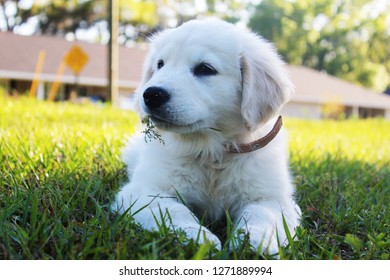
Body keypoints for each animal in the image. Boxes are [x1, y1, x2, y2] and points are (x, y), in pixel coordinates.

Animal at [111, 18, 300, 255]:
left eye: (205, 69)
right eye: (160, 64)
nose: (151, 94)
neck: (211, 152)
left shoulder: (273, 199)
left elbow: (262, 215)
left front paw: (255, 242)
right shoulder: (145, 191)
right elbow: (174, 210)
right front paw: (198, 238)